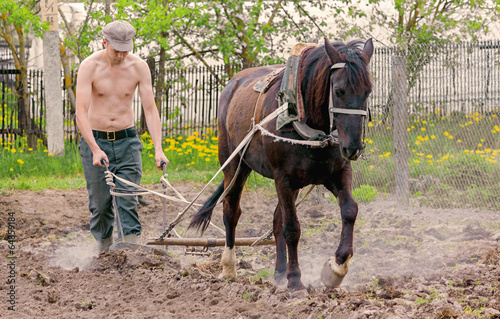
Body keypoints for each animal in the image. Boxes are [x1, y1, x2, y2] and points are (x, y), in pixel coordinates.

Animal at [189, 38, 374, 292]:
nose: (354, 147)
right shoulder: (283, 178)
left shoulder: (336, 173)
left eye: (368, 91)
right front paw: (295, 280)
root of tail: (233, 84)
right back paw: (229, 267)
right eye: (338, 90)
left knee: (276, 220)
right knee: (231, 212)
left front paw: (336, 268)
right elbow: (292, 228)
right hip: (235, 166)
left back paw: (278, 273)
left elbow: (349, 211)